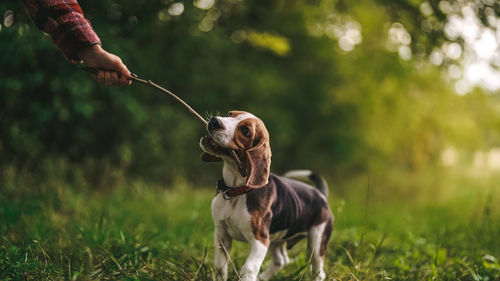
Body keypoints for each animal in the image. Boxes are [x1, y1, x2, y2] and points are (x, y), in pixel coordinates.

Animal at [200, 110, 336, 280]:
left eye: (245, 131)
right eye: (230, 114)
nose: (214, 121)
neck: (236, 190)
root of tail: (321, 194)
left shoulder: (260, 241)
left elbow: (248, 268)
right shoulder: (222, 235)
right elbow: (220, 267)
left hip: (316, 242)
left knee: (318, 270)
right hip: (276, 238)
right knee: (281, 260)